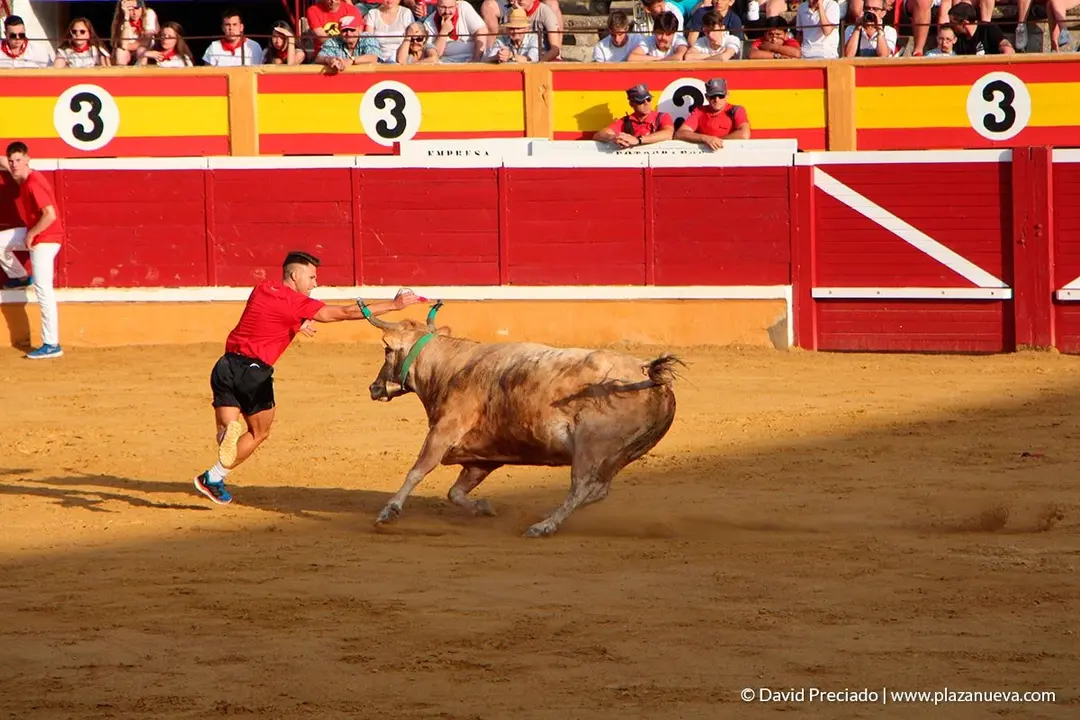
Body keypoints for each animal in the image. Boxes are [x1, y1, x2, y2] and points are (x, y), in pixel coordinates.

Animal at [361, 300, 682, 538]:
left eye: (387, 350)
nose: (374, 388)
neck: (450, 368)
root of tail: (650, 377)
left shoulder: (443, 432)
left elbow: (418, 471)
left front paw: (388, 512)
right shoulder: (482, 458)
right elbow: (455, 492)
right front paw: (484, 508)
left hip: (590, 447)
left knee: (580, 487)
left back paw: (543, 527)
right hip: (622, 455)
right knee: (597, 490)